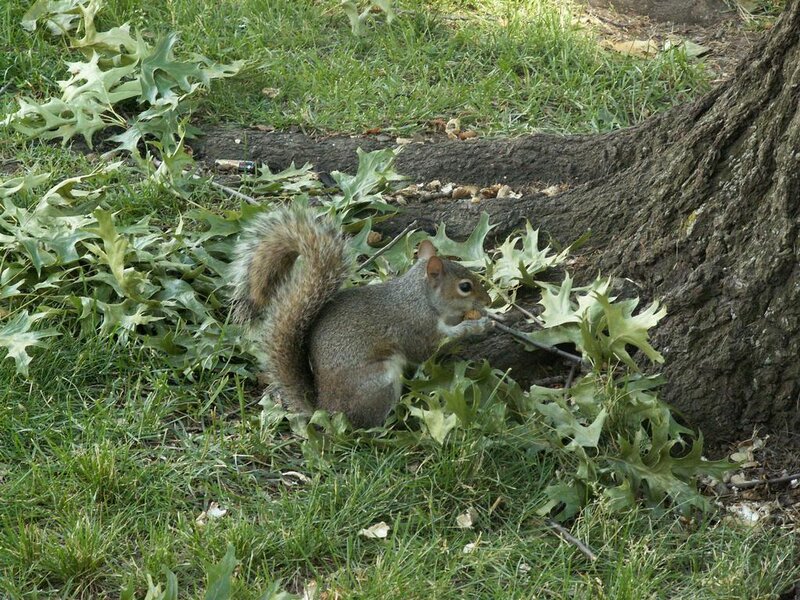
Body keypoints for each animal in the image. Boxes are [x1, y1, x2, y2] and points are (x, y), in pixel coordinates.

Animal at [230, 206, 493, 428]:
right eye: (465, 287)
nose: (488, 301)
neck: (421, 298)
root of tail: (326, 411)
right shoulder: (416, 328)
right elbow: (428, 349)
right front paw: (476, 325)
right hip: (378, 383)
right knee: (366, 424)